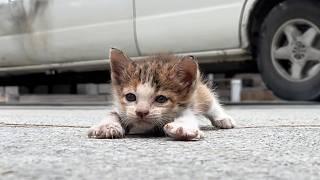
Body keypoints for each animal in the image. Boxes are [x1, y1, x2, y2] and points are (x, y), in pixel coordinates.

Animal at [87, 47, 235, 141]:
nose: (141, 112)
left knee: (210, 100)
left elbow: (187, 116)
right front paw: (107, 126)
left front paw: (183, 128)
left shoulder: (185, 106)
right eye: (130, 97)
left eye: (161, 99)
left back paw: (223, 118)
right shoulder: (121, 108)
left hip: (199, 92)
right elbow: (113, 113)